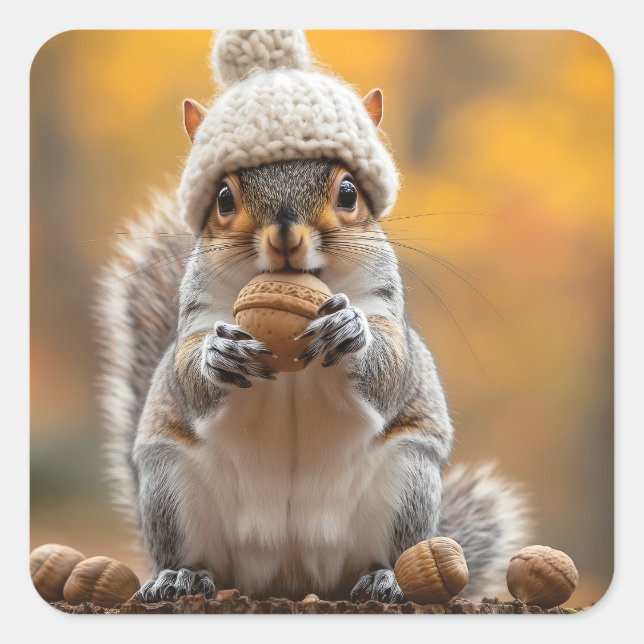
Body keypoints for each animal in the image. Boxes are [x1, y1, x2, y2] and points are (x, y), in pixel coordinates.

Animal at [96, 30, 528, 604]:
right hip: (170, 487)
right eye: (224, 196)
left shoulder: (383, 305)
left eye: (348, 192)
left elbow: (391, 366)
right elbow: (187, 372)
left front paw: (351, 333)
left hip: (406, 483)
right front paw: (217, 354)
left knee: (388, 553)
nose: (285, 234)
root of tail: (290, 575)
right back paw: (179, 576)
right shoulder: (198, 314)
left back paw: (387, 577)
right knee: (196, 558)